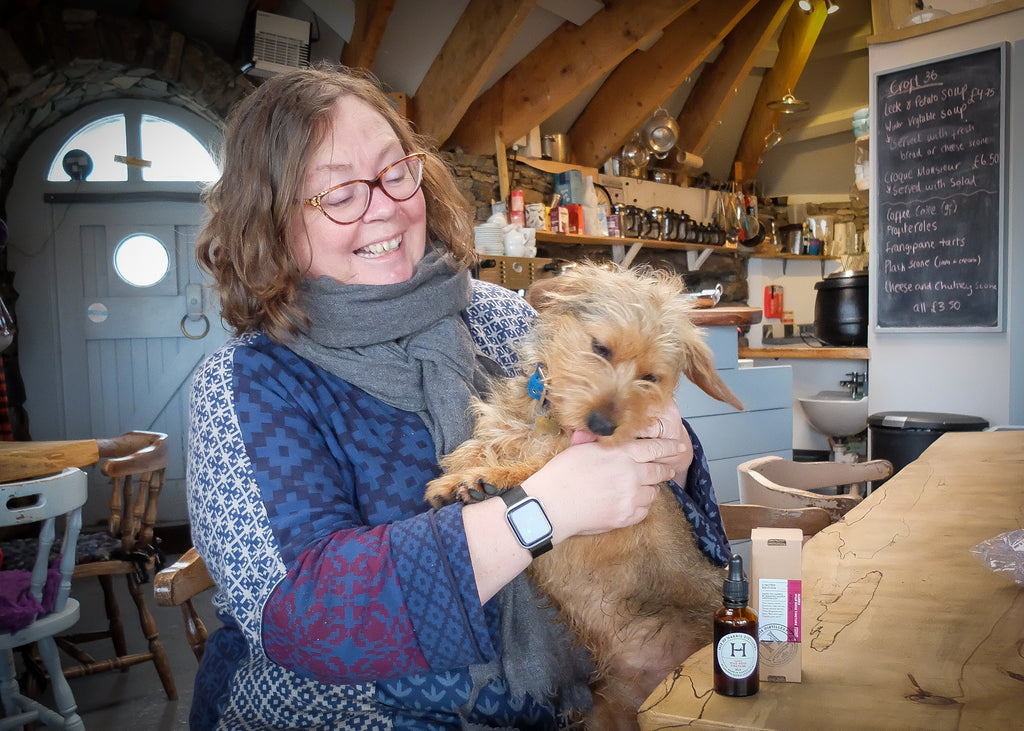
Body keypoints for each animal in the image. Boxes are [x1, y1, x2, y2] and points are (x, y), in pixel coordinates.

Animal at [423, 259, 745, 724]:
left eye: (651, 377)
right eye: (601, 348)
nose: (603, 426)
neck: (554, 421)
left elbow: (538, 463)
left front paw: (482, 477)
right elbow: (491, 443)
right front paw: (471, 467)